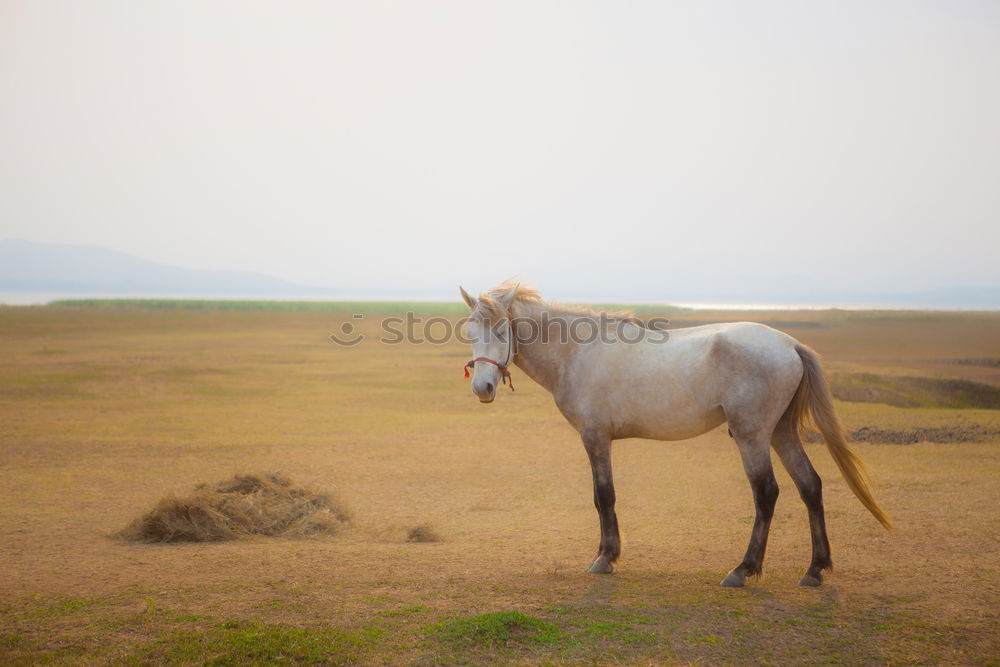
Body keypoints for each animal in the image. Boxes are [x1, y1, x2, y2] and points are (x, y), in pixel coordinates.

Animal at [460, 280, 892, 588]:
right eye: (470, 330)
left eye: (501, 329)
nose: (482, 387)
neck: (578, 351)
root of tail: (790, 344)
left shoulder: (595, 438)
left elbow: (604, 496)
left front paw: (605, 559)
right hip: (781, 432)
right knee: (810, 486)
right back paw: (815, 570)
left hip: (753, 435)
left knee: (767, 493)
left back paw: (743, 570)